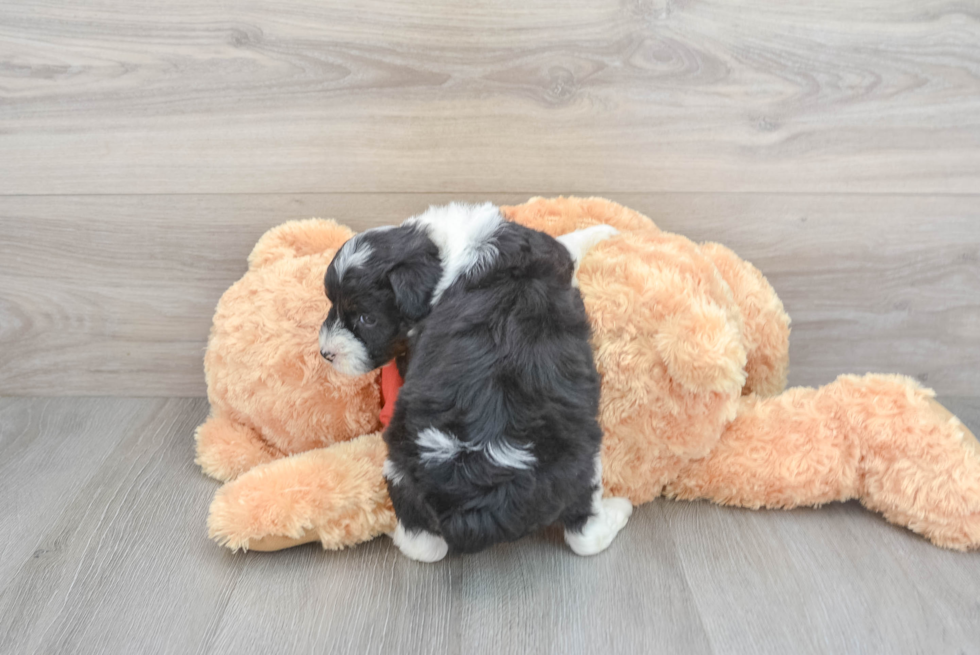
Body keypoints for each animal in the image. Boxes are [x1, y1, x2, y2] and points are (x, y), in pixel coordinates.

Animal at [318, 202, 632, 560]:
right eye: (333, 305)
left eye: (366, 318)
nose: (325, 353)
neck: (443, 251)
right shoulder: (554, 252)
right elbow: (572, 242)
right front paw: (605, 230)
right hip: (578, 463)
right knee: (584, 535)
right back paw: (619, 511)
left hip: (401, 469)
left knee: (422, 544)